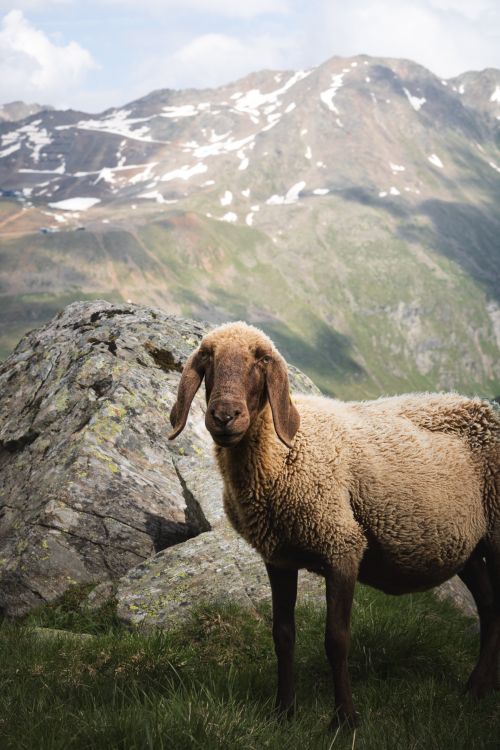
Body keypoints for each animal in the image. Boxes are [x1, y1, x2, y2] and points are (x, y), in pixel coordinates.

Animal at [168, 321, 500, 728]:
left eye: (261, 360)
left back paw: (479, 688)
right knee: (490, 607)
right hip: (465, 545)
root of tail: (486, 407)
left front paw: (345, 719)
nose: (225, 415)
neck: (283, 452)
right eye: (207, 358)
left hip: (497, 531)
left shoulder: (341, 544)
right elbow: (283, 635)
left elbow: (336, 639)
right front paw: (284, 712)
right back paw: (478, 687)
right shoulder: (279, 556)